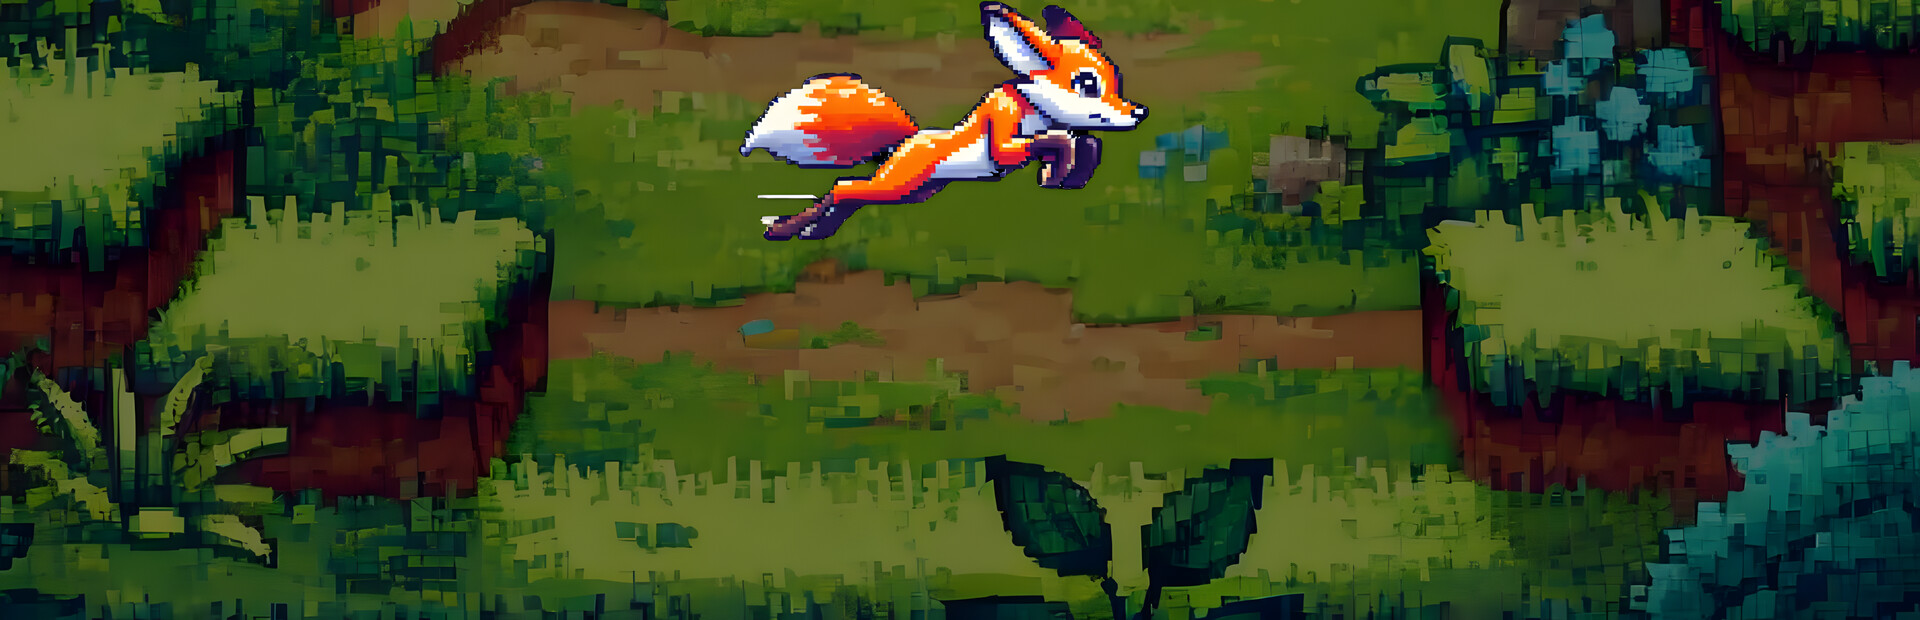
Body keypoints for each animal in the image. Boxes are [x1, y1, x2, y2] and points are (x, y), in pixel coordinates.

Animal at [738, 2, 1148, 241]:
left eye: (1117, 82)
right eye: (1087, 85)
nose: (1138, 113)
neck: (1033, 107)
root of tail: (907, 139)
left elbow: (1085, 142)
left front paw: (1066, 175)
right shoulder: (1002, 126)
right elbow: (1053, 141)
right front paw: (1058, 168)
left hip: (915, 193)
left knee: (850, 193)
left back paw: (810, 230)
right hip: (899, 185)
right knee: (843, 187)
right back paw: (788, 228)